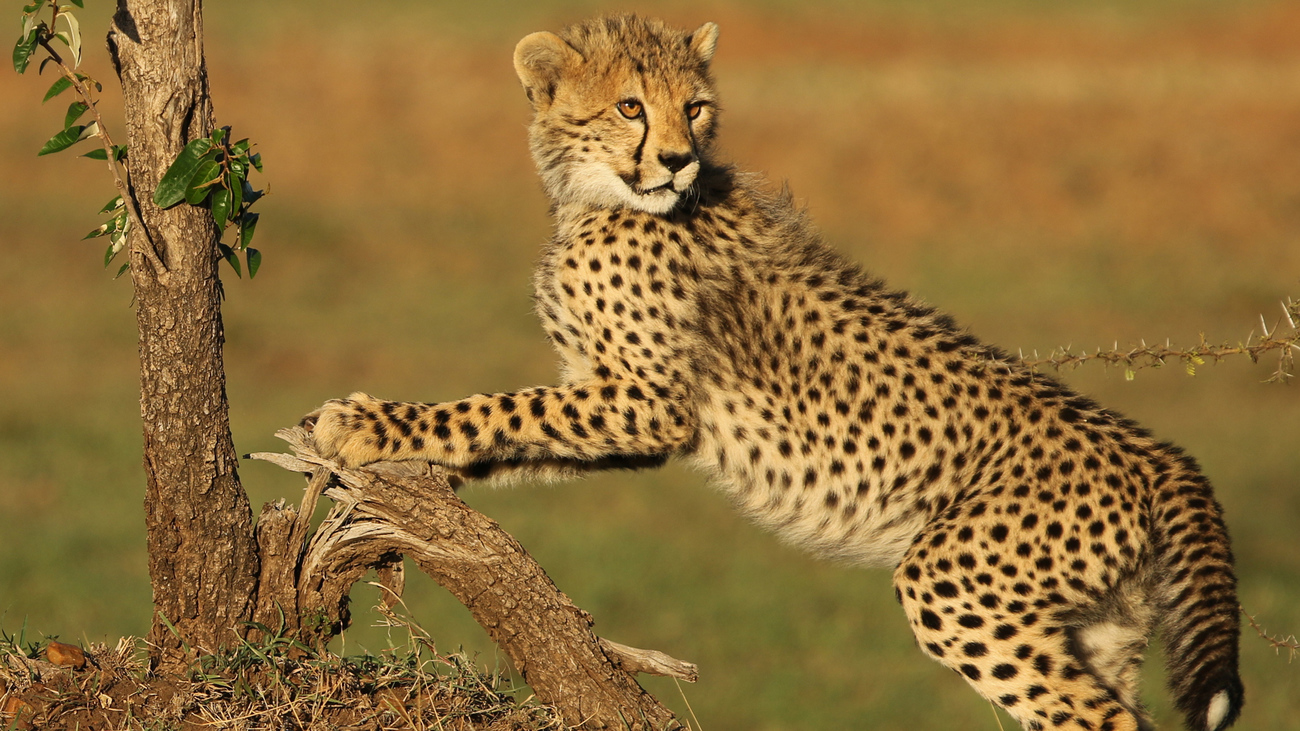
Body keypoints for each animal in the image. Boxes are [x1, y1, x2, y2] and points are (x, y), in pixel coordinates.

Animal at [301, 15, 1237, 728]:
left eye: (696, 108)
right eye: (631, 106)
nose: (675, 158)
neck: (594, 198)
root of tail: (1159, 453)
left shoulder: (648, 400)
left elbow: (495, 406)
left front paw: (364, 423)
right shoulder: (625, 407)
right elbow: (518, 431)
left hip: (957, 585)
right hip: (1095, 624)